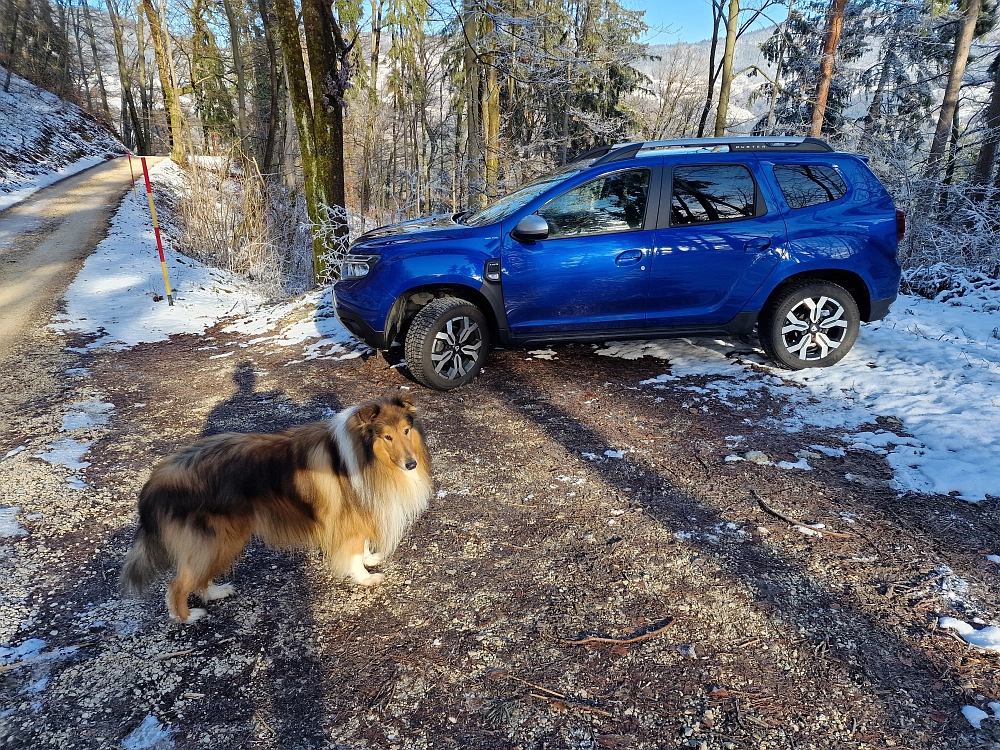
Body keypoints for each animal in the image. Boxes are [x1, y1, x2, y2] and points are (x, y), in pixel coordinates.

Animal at [119, 396, 432, 624]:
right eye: (387, 437)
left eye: (406, 431)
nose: (411, 464)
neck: (362, 454)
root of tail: (156, 480)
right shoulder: (349, 517)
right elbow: (353, 552)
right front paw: (365, 577)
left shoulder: (359, 511)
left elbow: (362, 544)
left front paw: (370, 558)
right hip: (215, 540)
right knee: (177, 584)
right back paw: (187, 617)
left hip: (219, 541)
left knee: (197, 578)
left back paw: (217, 592)